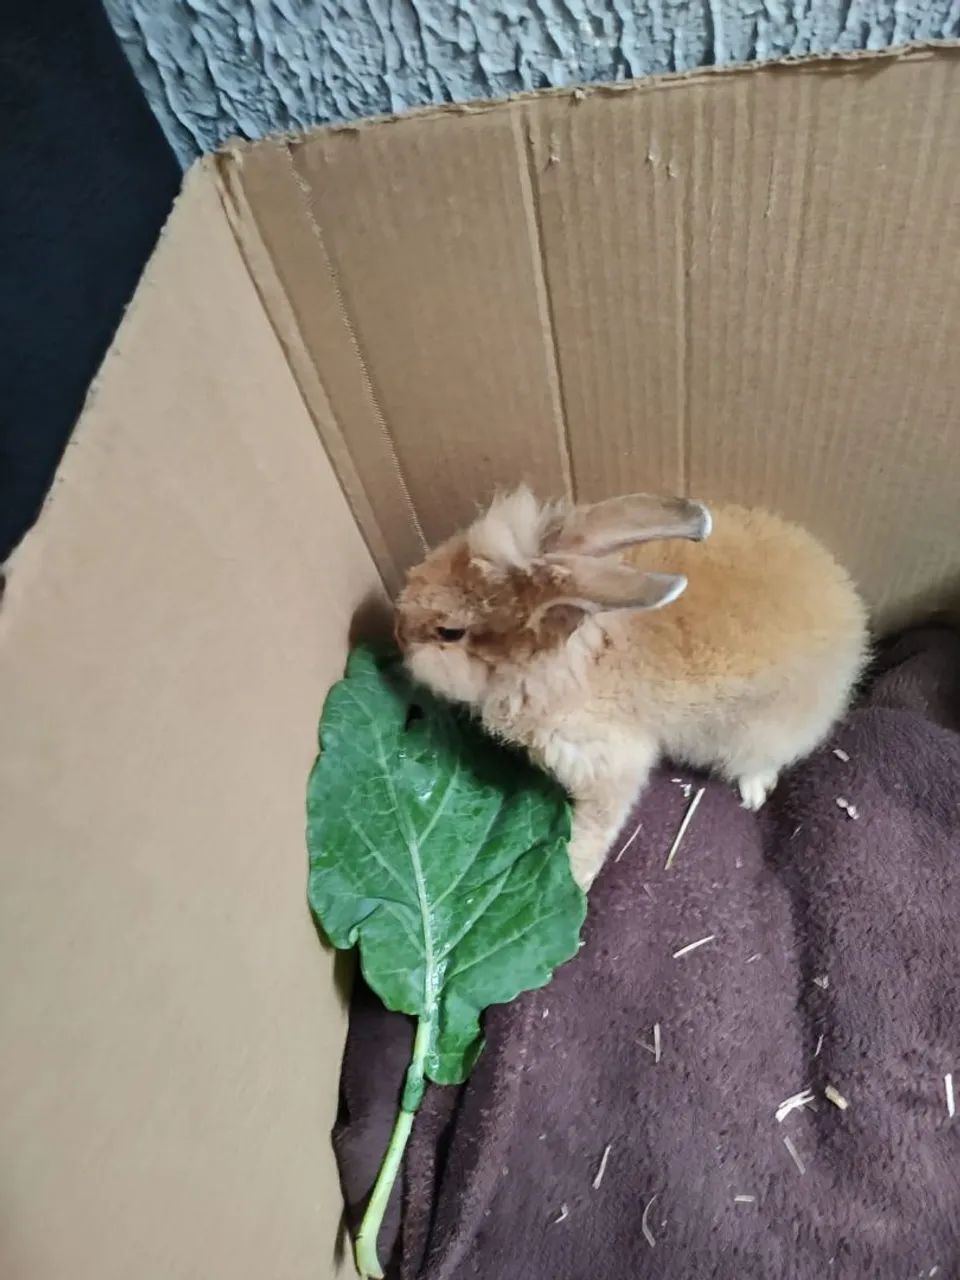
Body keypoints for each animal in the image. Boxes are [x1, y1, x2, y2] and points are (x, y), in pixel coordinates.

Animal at [395, 487, 868, 890]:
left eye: (449, 632)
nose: (398, 632)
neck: (569, 660)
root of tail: (853, 626)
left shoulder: (608, 765)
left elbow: (599, 823)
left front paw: (574, 875)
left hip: (759, 731)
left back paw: (753, 793)